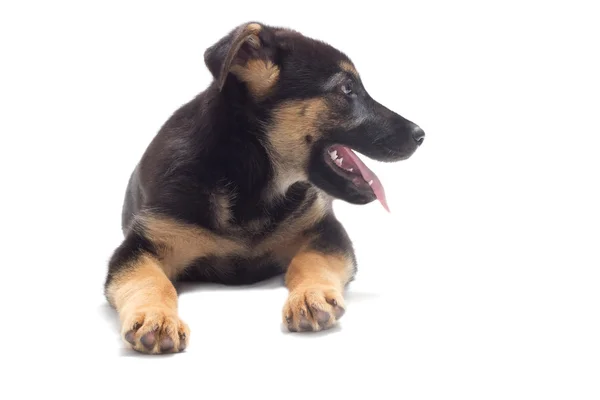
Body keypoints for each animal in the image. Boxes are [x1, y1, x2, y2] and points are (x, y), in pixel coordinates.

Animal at [104, 21, 422, 354]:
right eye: (347, 89)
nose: (421, 135)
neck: (249, 183)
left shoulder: (326, 231)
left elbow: (311, 261)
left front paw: (310, 295)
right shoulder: (141, 246)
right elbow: (150, 282)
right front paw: (155, 316)